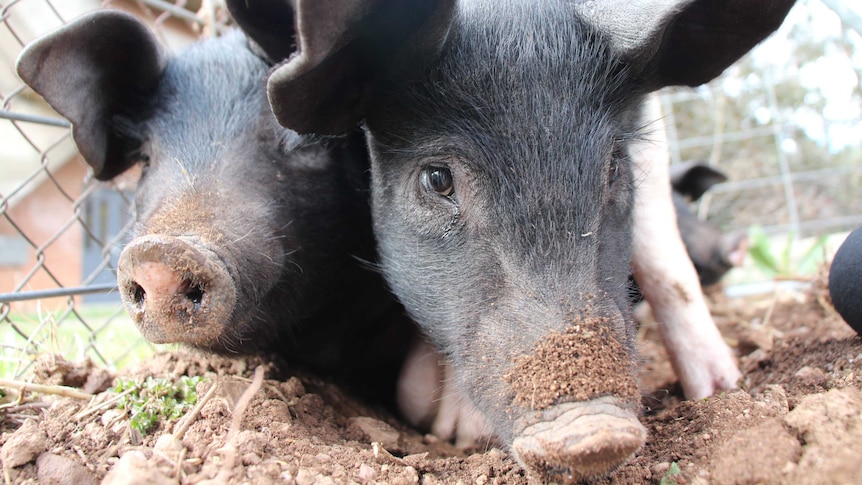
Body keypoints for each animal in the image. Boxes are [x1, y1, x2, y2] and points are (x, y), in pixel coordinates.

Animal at [226, 0, 792, 478]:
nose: (596, 431)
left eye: (613, 167)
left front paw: (722, 389)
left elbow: (660, 252)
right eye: (437, 179)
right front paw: (457, 431)